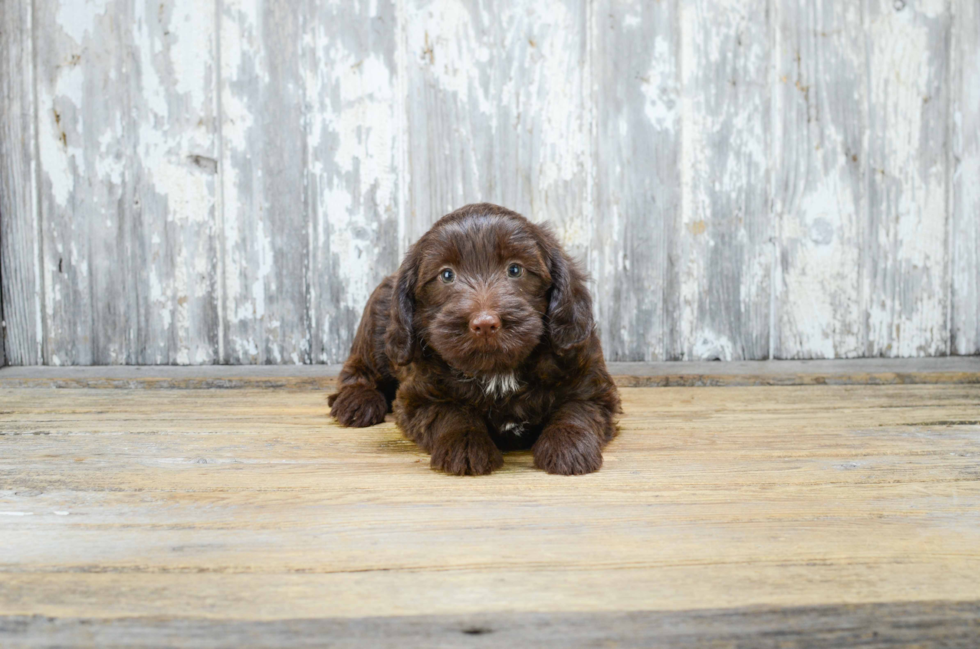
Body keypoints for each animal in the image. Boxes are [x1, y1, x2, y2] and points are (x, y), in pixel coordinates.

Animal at [330, 204, 620, 476]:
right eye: (447, 275)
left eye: (515, 269)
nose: (485, 324)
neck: (497, 371)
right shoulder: (418, 396)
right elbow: (452, 412)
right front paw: (466, 445)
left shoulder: (591, 381)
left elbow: (577, 408)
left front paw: (569, 445)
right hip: (379, 329)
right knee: (360, 368)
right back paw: (357, 401)